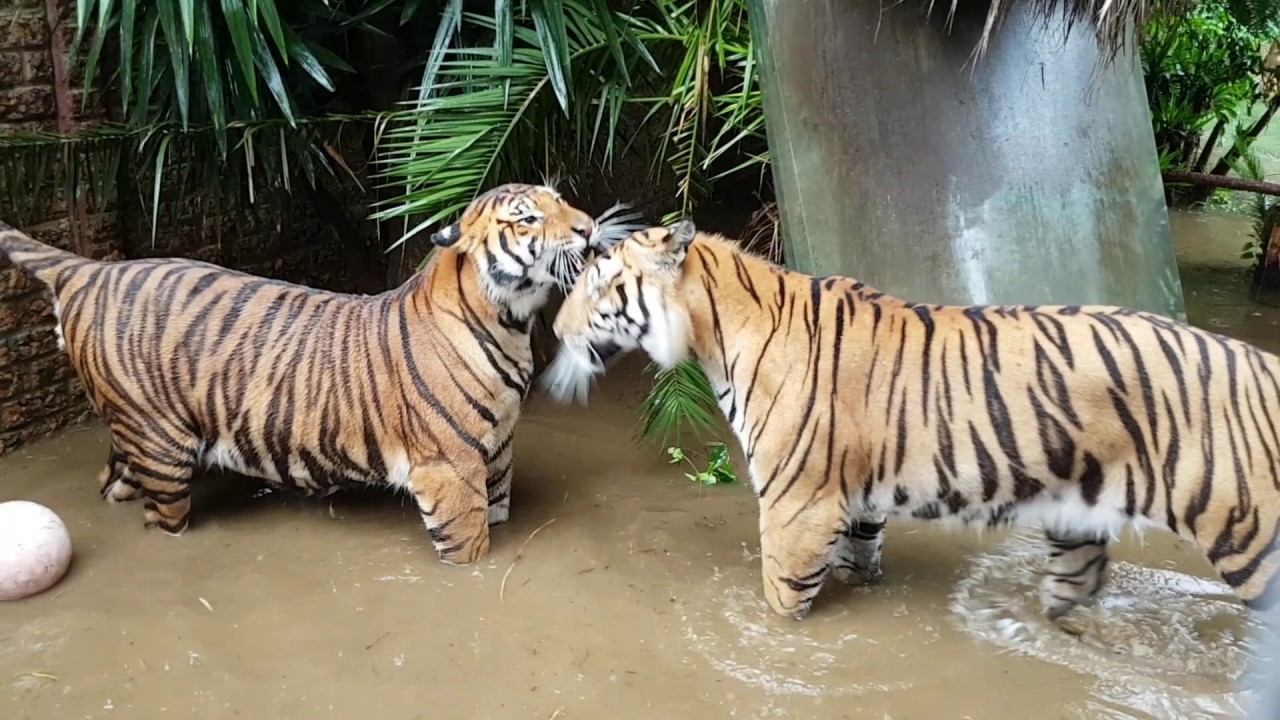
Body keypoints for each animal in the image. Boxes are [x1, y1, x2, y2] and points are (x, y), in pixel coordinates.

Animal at [0, 183, 638, 567]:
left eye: (562, 200)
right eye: (529, 219)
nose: (588, 229)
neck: (511, 321)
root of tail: (90, 270)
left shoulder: (498, 456)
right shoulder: (449, 472)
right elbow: (471, 550)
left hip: (134, 436)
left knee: (110, 482)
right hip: (162, 449)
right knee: (161, 515)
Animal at [541, 218, 1280, 625]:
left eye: (600, 286)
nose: (552, 329)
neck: (717, 331)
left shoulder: (796, 508)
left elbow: (779, 606)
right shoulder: (858, 505)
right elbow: (857, 565)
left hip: (1249, 532)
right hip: (1078, 523)